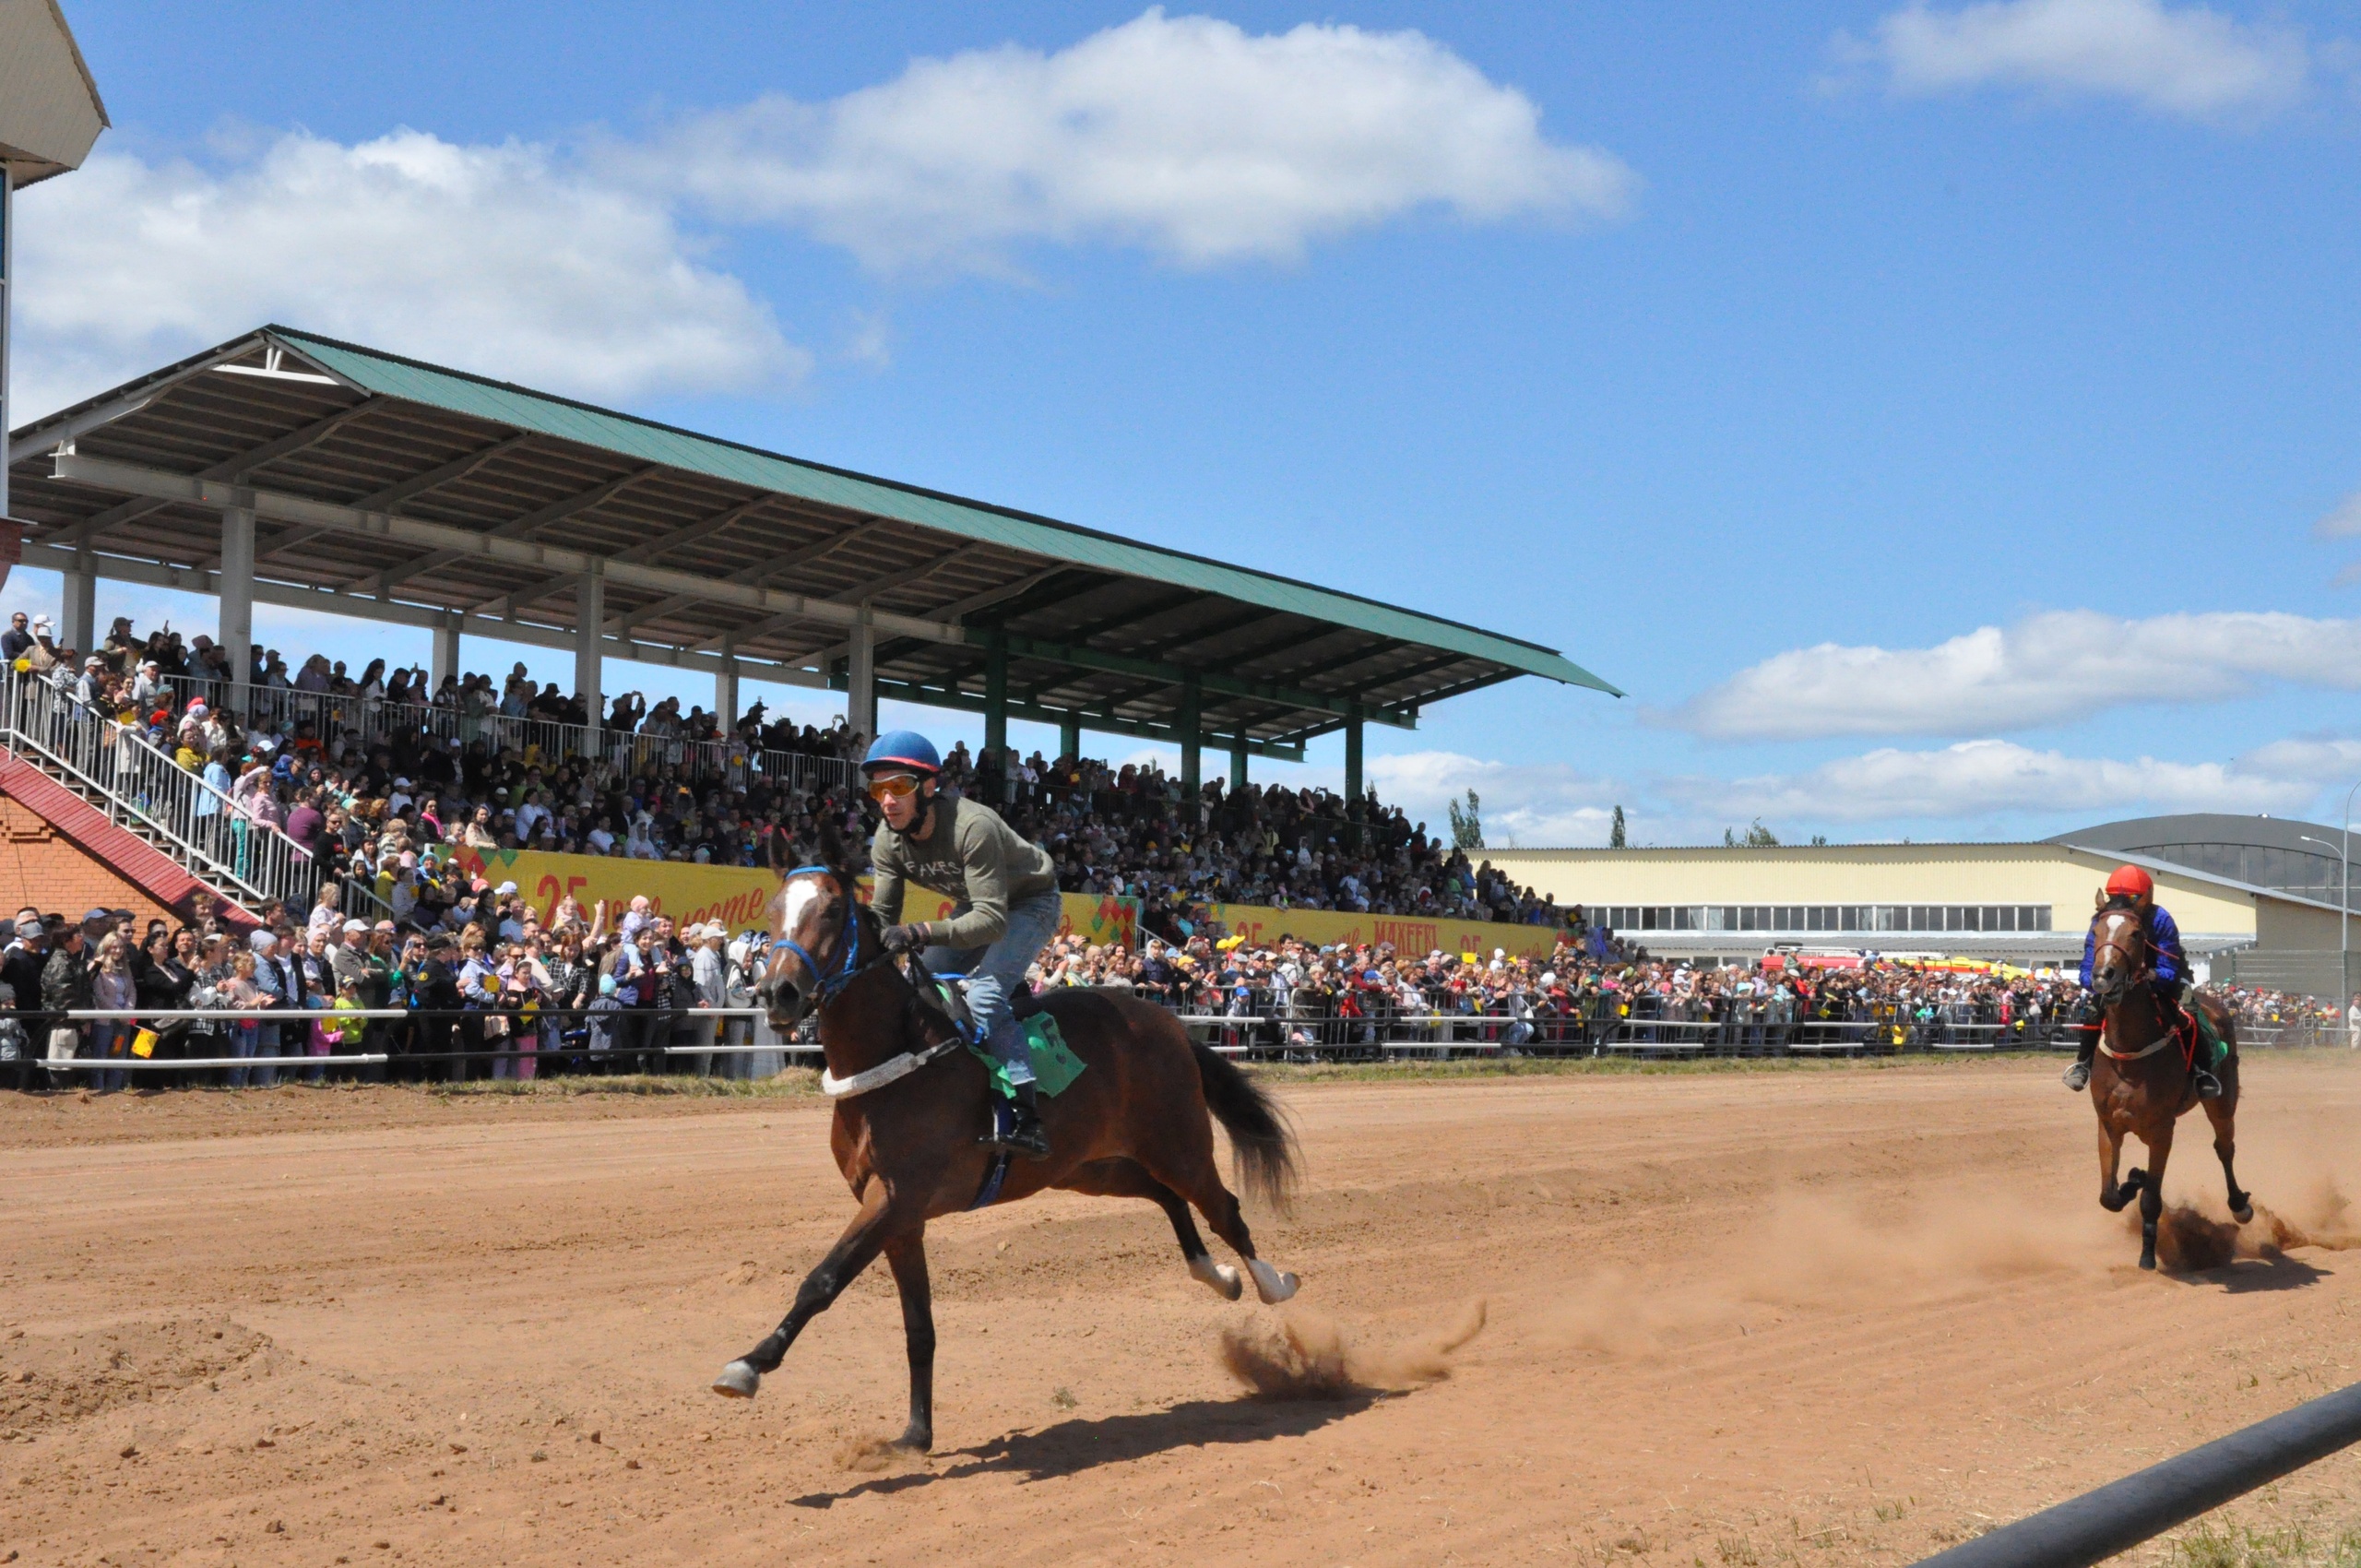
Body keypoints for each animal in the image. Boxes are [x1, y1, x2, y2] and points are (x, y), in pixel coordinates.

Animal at [713, 826, 1312, 1455]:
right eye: (773, 910)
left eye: (831, 910)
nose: (777, 992)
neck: (895, 1056)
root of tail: (1171, 1023)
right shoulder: (900, 1215)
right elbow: (918, 1324)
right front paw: (915, 1433)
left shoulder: (896, 1197)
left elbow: (821, 1281)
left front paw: (748, 1366)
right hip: (1087, 1167)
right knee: (1165, 1196)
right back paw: (1216, 1276)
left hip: (1179, 1144)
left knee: (1225, 1208)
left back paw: (1272, 1284)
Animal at [2087, 902, 2248, 1265]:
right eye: (2096, 931)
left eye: (2136, 934)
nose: (2103, 975)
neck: (2129, 1053)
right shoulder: (2108, 1124)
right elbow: (2108, 1196)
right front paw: (2134, 1178)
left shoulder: (2162, 1130)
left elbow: (2151, 1199)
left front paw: (2148, 1254)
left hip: (2222, 1101)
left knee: (2225, 1147)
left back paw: (2240, 1205)